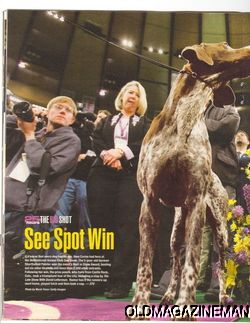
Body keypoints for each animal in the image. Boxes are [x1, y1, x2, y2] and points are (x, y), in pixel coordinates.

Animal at [132, 41, 250, 318]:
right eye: (226, 45)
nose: (249, 48)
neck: (185, 117)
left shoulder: (196, 203)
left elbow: (193, 266)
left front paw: (185, 305)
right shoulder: (149, 201)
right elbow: (145, 266)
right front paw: (141, 305)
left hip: (219, 230)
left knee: (222, 265)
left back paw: (222, 299)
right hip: (176, 232)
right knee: (175, 263)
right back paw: (166, 295)